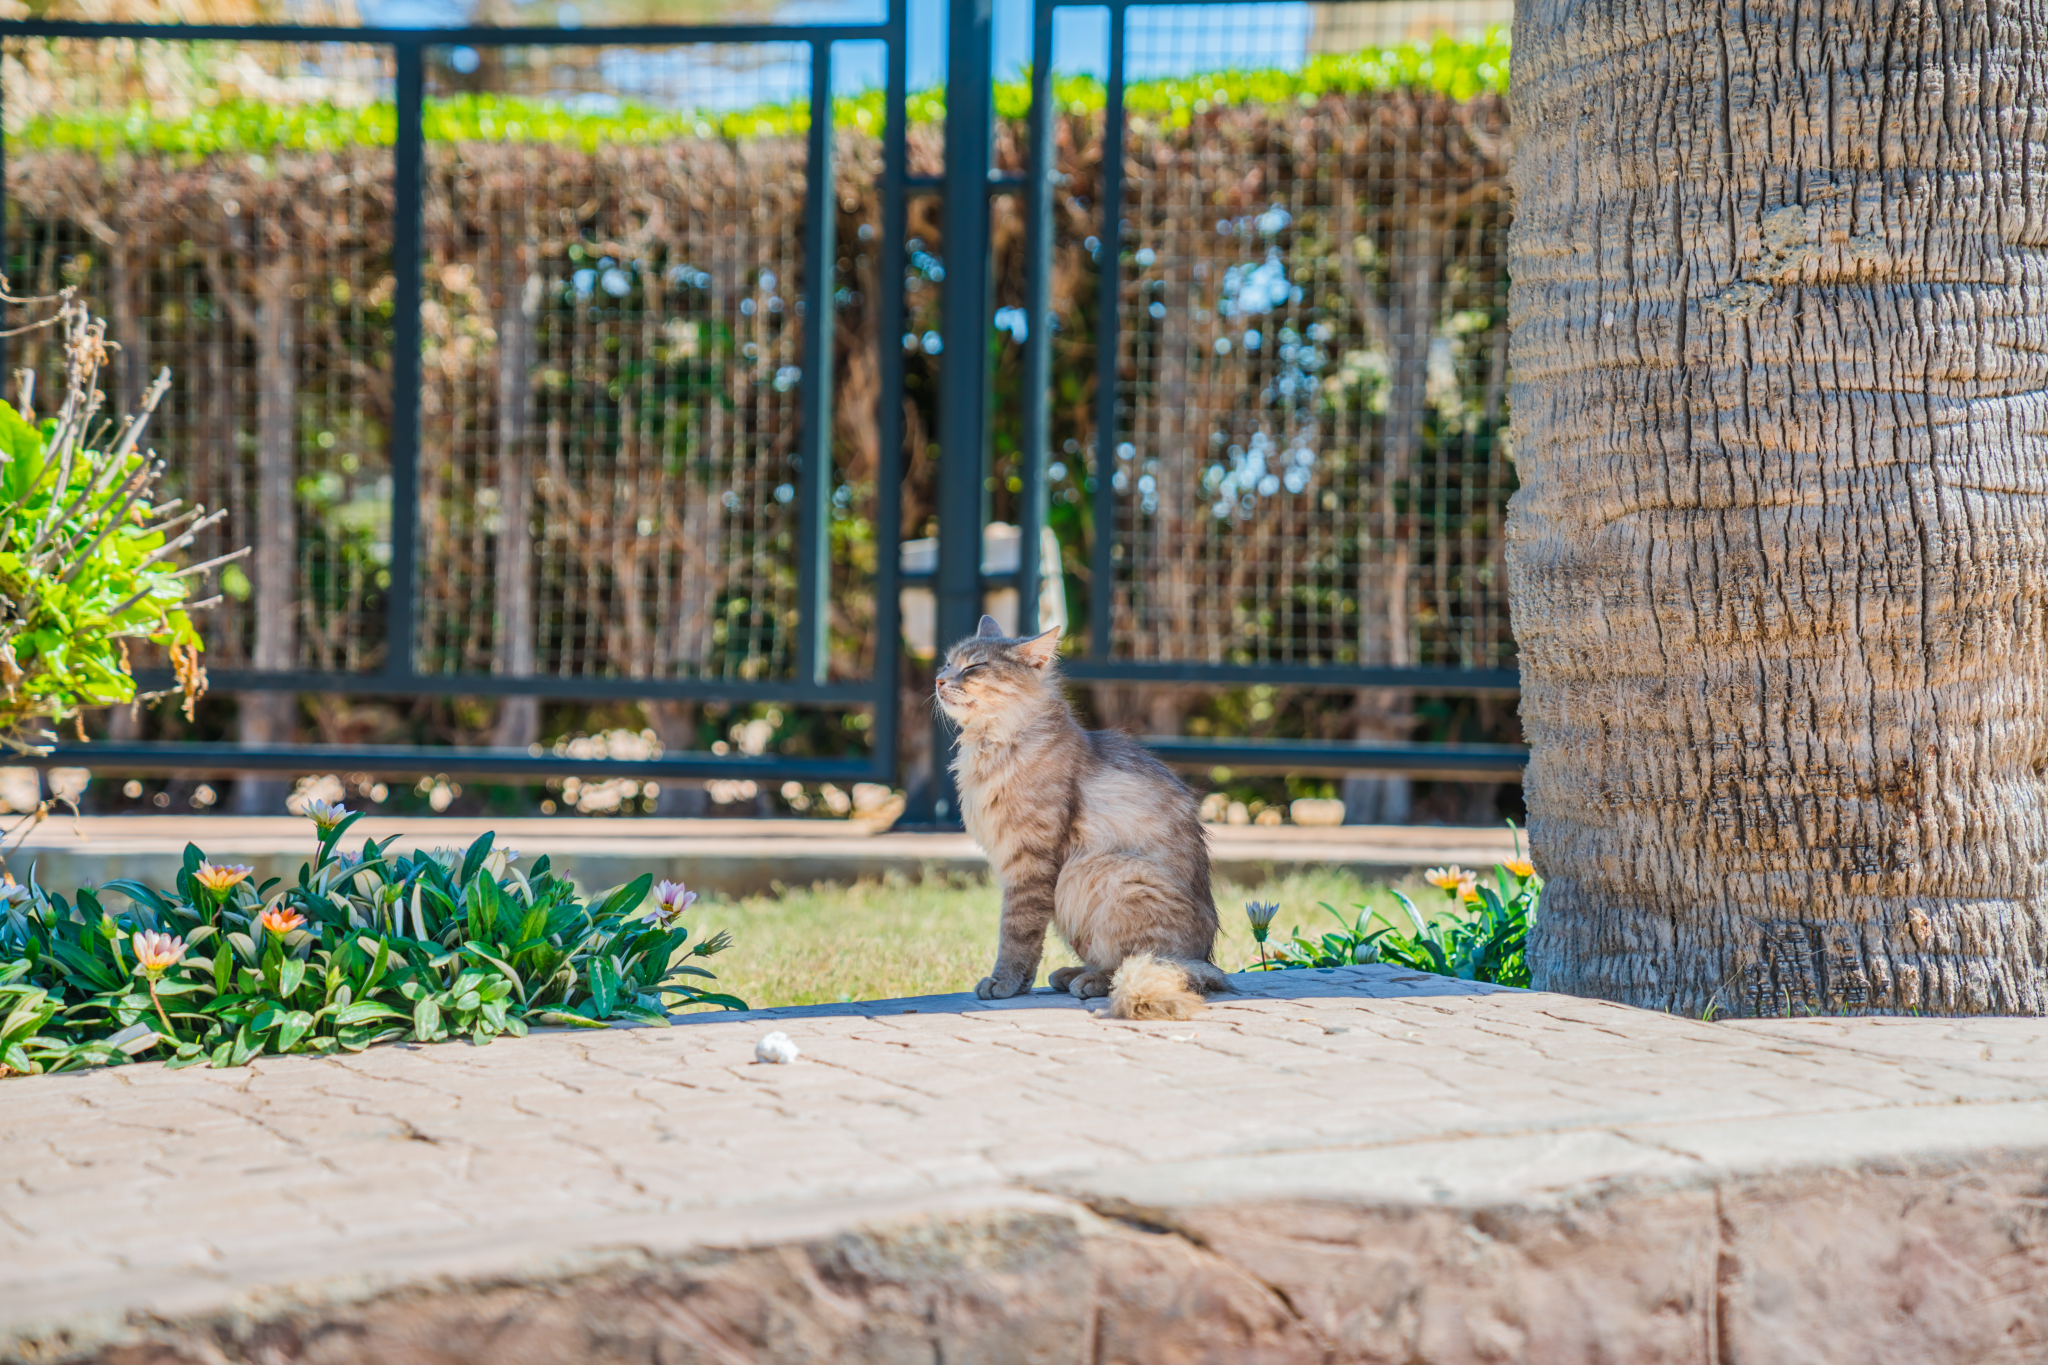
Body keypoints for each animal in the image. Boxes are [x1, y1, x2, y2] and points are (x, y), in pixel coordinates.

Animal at [933, 618, 1228, 1015]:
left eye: (973, 667)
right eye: (948, 663)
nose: (938, 680)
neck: (989, 745)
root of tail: (1203, 959)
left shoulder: (1030, 862)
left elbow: (1017, 932)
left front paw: (1003, 982)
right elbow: (1029, 939)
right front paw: (1021, 984)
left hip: (1115, 875)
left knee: (1135, 963)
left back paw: (1090, 981)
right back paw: (1071, 974)